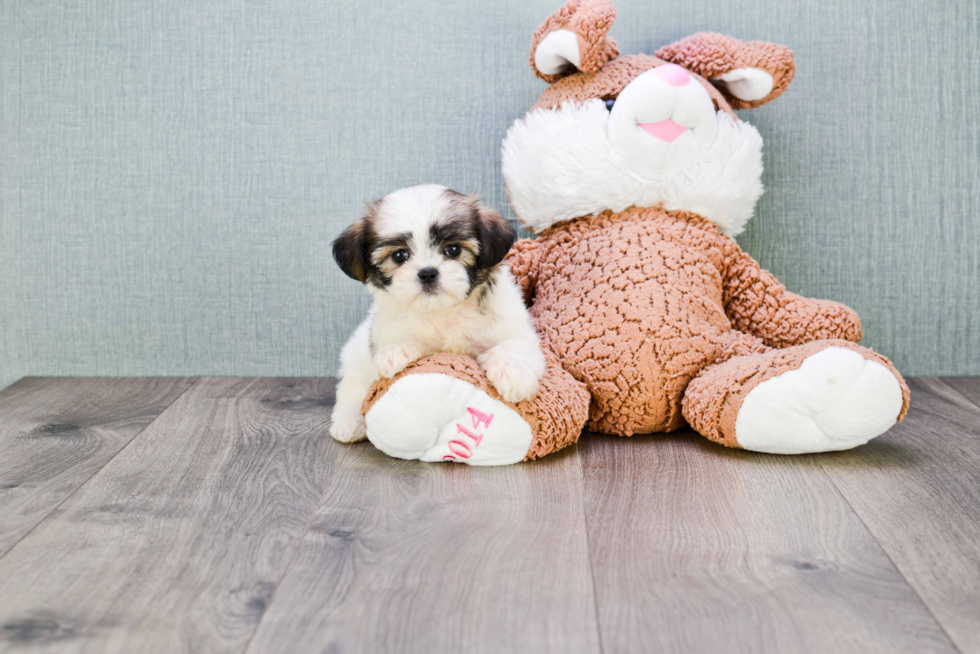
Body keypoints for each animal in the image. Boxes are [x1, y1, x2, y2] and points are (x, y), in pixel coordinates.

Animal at [328, 183, 544, 446]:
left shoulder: (511, 324)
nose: (428, 272)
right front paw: (395, 353)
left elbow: (513, 345)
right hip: (356, 358)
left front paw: (514, 375)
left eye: (453, 249)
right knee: (352, 390)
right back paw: (348, 423)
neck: (443, 311)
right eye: (399, 255)